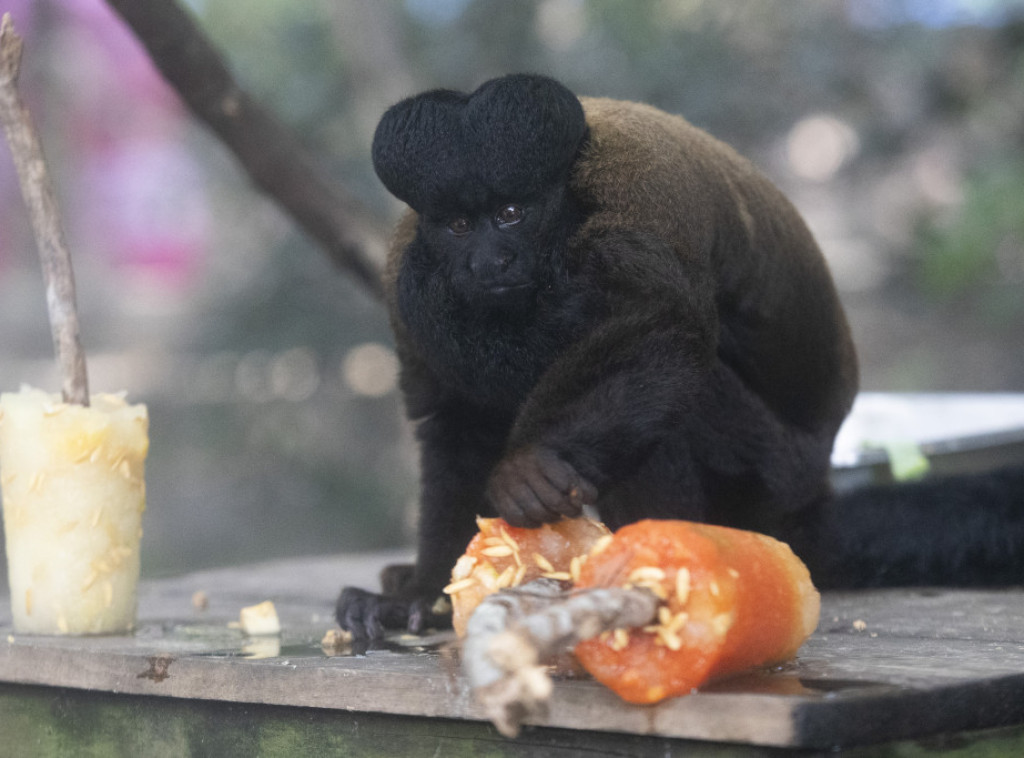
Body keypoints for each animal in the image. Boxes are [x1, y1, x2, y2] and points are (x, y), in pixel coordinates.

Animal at [337, 72, 1024, 639]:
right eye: (458, 226)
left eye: (509, 214)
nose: (489, 261)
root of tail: (809, 495)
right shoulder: (407, 291)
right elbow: (452, 424)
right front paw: (420, 594)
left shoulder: (632, 214)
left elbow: (662, 331)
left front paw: (529, 467)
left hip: (770, 473)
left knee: (679, 399)